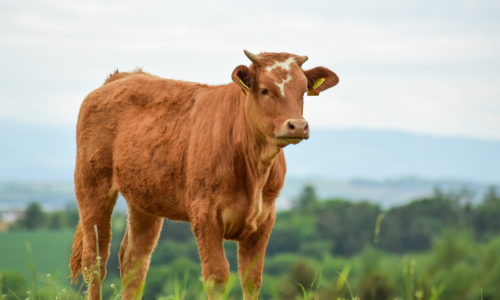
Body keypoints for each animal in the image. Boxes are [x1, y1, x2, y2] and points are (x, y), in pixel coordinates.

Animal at [68, 50, 338, 298]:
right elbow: (217, 277)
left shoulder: (265, 217)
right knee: (95, 262)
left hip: (144, 200)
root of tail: (122, 77)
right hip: (92, 185)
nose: (298, 125)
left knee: (133, 261)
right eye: (264, 90)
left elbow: (252, 278)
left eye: (303, 92)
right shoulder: (205, 212)